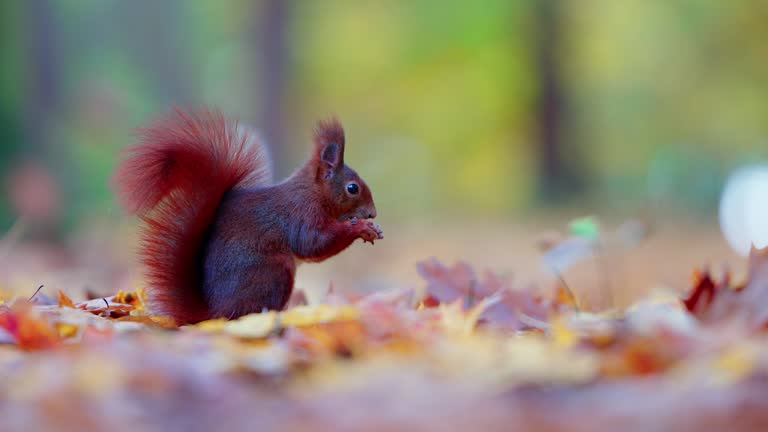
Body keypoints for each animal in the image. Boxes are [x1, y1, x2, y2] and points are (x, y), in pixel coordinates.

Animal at [114, 108, 384, 324]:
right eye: (352, 188)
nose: (372, 213)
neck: (313, 192)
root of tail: (214, 313)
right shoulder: (301, 214)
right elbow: (312, 244)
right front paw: (359, 227)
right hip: (274, 272)